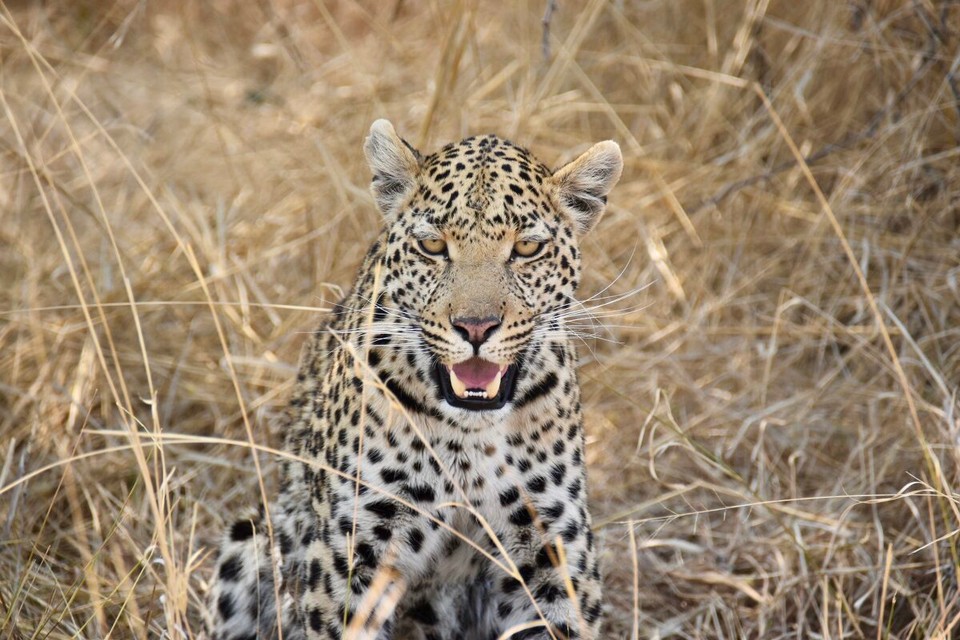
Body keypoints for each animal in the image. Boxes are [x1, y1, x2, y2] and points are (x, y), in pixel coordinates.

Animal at [208, 119, 623, 640]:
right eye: (433, 246)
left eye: (527, 248)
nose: (476, 327)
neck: (470, 437)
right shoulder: (352, 556)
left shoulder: (554, 548)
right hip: (250, 538)